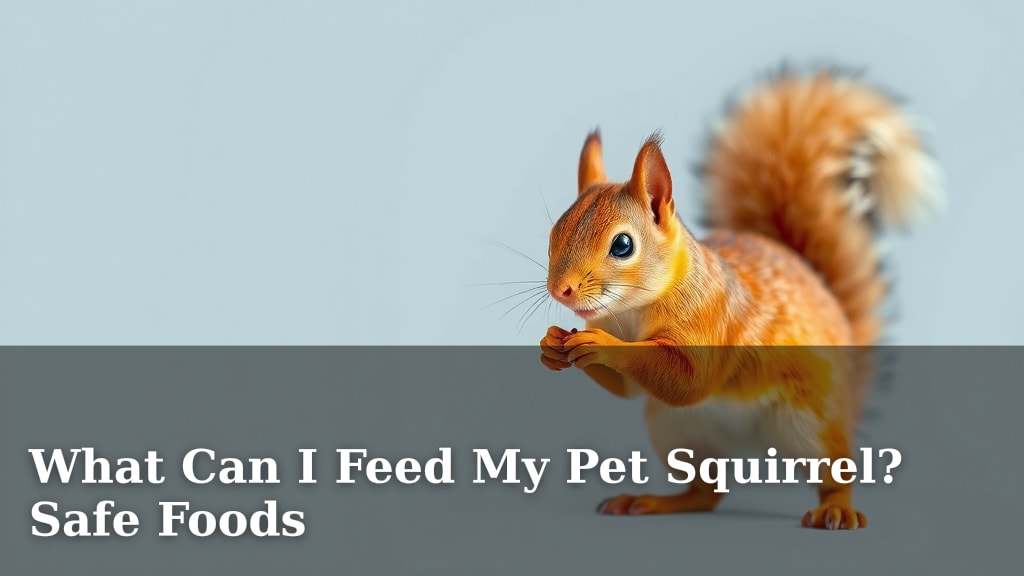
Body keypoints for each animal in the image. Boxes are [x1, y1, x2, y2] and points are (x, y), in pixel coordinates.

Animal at [539, 68, 942, 530]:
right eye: (553, 234)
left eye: (622, 245)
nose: (560, 289)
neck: (633, 313)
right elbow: (627, 388)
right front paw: (552, 344)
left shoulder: (714, 318)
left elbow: (688, 379)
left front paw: (600, 345)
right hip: (679, 434)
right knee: (707, 490)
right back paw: (653, 501)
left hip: (813, 425)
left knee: (833, 473)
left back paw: (836, 508)